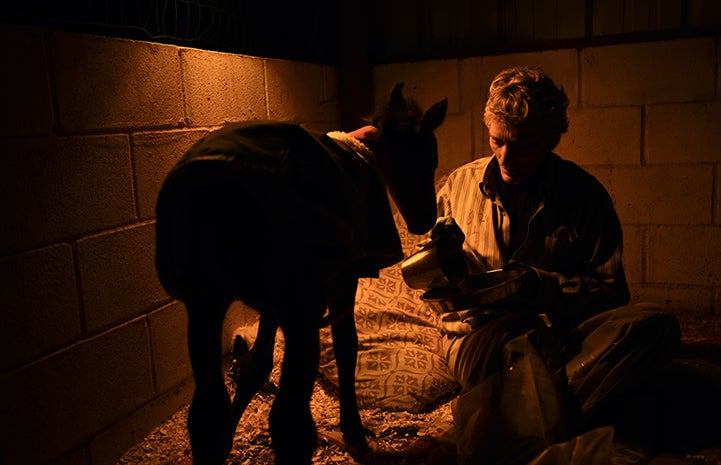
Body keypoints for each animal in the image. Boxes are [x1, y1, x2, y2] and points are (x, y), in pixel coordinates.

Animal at [155, 83, 448, 464]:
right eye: (427, 160)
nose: (425, 220)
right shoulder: (341, 280)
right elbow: (346, 346)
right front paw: (354, 432)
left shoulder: (270, 304)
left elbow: (258, 364)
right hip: (300, 305)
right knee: (289, 421)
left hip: (206, 300)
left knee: (207, 410)